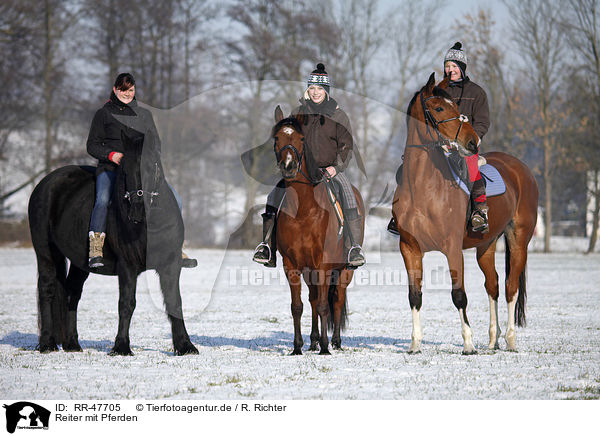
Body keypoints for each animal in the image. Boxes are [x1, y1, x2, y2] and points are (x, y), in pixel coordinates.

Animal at [28, 131, 197, 356]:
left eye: (152, 166)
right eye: (124, 170)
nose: (137, 211)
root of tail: (46, 183)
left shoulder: (170, 265)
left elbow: (175, 302)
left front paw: (185, 346)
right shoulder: (127, 266)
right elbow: (126, 304)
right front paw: (121, 347)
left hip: (80, 262)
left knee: (72, 293)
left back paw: (72, 344)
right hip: (46, 252)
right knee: (47, 289)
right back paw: (47, 344)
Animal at [272, 104, 366, 354]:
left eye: (301, 138)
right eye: (276, 138)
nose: (288, 167)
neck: (304, 210)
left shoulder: (323, 264)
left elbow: (325, 305)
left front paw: (325, 347)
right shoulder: (292, 265)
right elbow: (297, 306)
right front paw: (297, 347)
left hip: (344, 271)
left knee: (337, 299)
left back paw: (335, 342)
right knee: (313, 299)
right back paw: (313, 340)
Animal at [394, 73, 540, 354]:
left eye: (456, 107)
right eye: (439, 108)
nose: (473, 143)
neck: (422, 188)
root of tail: (521, 169)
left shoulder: (452, 248)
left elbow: (458, 295)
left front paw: (468, 344)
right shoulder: (409, 248)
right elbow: (414, 296)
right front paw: (415, 343)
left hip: (519, 240)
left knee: (510, 288)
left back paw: (510, 339)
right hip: (486, 246)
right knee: (493, 286)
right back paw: (493, 340)